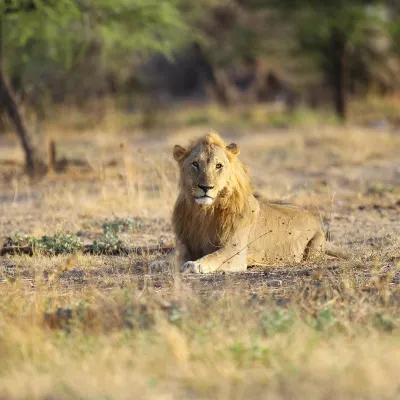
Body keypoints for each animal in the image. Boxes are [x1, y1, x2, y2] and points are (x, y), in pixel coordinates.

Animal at [152, 133, 348, 274]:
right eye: (194, 164)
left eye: (218, 166)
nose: (205, 187)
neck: (204, 212)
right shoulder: (186, 244)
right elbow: (173, 255)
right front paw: (160, 263)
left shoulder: (235, 251)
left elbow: (214, 256)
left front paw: (195, 265)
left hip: (313, 249)